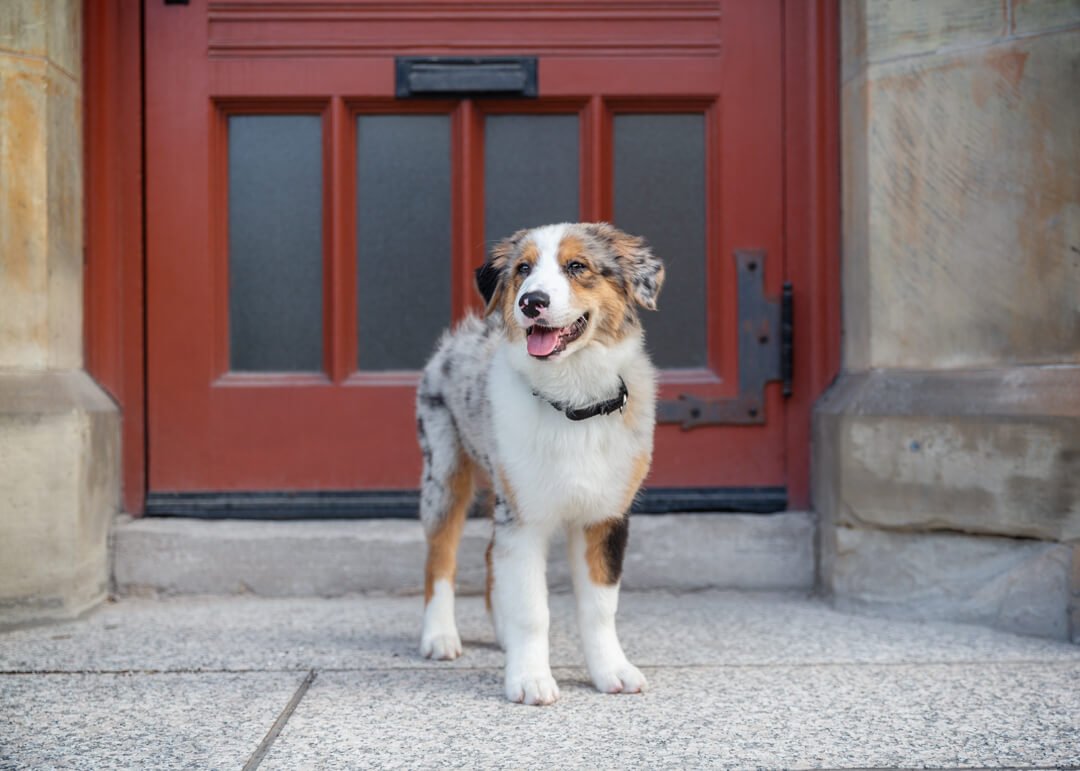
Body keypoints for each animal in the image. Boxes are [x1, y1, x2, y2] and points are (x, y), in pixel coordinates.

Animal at [414, 220, 660, 704]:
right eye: (523, 269)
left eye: (577, 266)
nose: (531, 302)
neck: (574, 400)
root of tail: (458, 337)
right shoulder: (525, 517)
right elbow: (532, 609)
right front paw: (529, 679)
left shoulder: (606, 516)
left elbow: (600, 606)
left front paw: (611, 671)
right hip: (445, 469)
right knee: (440, 553)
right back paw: (439, 636)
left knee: (491, 553)